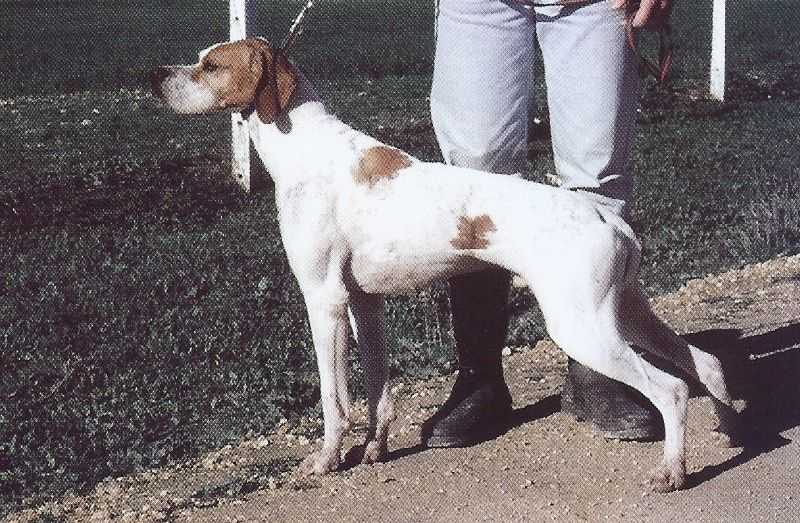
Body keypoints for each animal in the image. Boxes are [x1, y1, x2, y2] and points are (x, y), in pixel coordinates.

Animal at [153, 39, 740, 494]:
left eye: (210, 65)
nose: (155, 76)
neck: (306, 149)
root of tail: (604, 215)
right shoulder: (365, 304)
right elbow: (377, 390)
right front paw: (375, 449)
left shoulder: (324, 301)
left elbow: (334, 399)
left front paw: (326, 460)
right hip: (626, 312)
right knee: (705, 363)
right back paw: (729, 422)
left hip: (583, 327)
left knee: (672, 389)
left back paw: (672, 471)